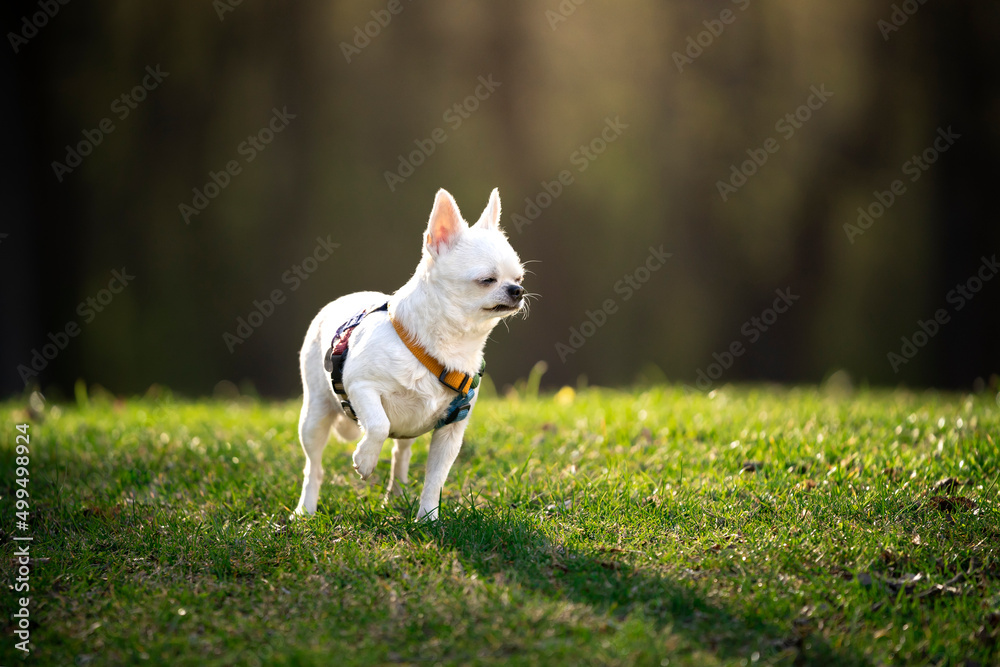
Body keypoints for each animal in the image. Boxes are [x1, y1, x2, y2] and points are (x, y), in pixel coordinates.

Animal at [292, 187, 528, 520]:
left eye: (519, 279)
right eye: (487, 280)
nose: (517, 292)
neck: (442, 348)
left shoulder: (451, 429)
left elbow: (435, 478)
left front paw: (428, 518)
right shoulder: (360, 386)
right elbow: (378, 424)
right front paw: (365, 460)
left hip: (407, 429)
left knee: (400, 451)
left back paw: (396, 493)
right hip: (315, 415)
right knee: (314, 467)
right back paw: (305, 510)